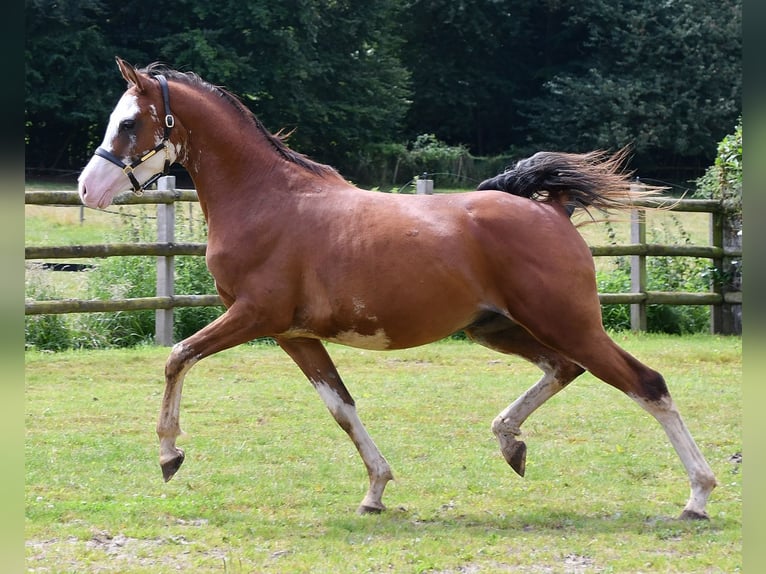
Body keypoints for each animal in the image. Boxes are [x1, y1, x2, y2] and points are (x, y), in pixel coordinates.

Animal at [78, 58, 720, 520]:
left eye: (129, 122)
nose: (88, 189)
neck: (267, 200)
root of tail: (553, 208)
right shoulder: (294, 335)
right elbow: (341, 407)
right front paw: (376, 491)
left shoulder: (255, 316)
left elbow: (177, 356)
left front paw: (170, 454)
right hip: (497, 328)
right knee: (564, 369)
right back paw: (510, 443)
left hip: (567, 322)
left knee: (646, 384)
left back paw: (697, 496)